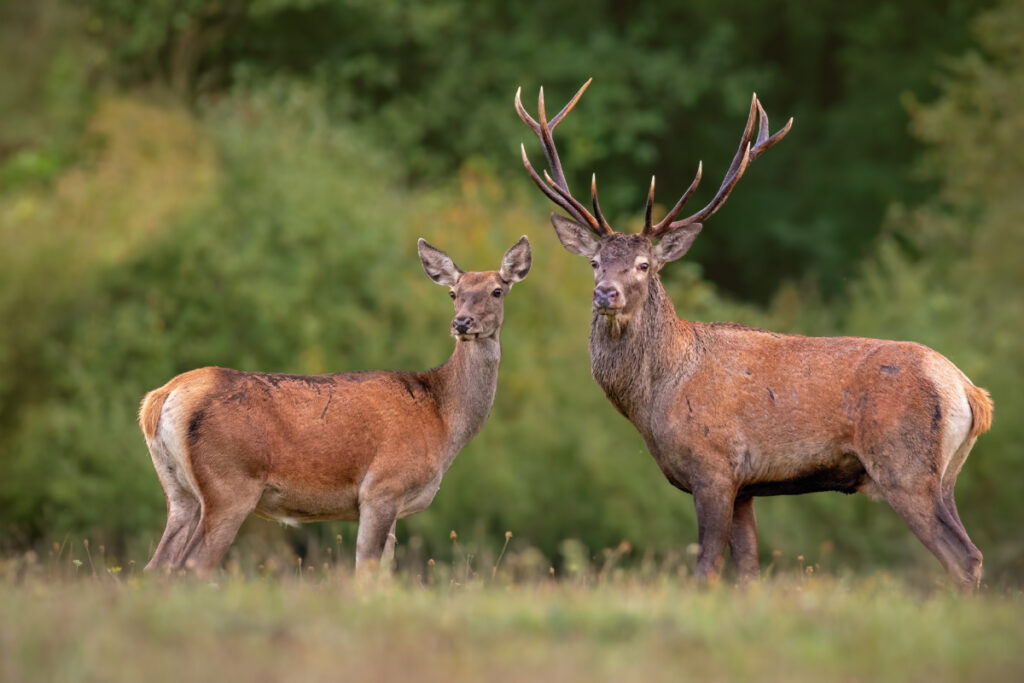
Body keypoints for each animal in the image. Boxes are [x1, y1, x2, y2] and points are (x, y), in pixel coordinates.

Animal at [138, 236, 532, 575]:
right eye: (453, 293)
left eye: (497, 290)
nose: (461, 323)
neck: (442, 418)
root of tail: (161, 398)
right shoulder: (382, 488)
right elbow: (365, 573)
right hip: (229, 486)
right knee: (188, 567)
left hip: (179, 491)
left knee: (156, 567)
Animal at [517, 79, 993, 589]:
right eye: (594, 262)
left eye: (644, 265)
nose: (605, 293)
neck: (657, 396)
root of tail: (969, 391)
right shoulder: (746, 487)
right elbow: (747, 573)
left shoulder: (714, 467)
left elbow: (706, 567)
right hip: (946, 475)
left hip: (905, 465)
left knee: (963, 555)